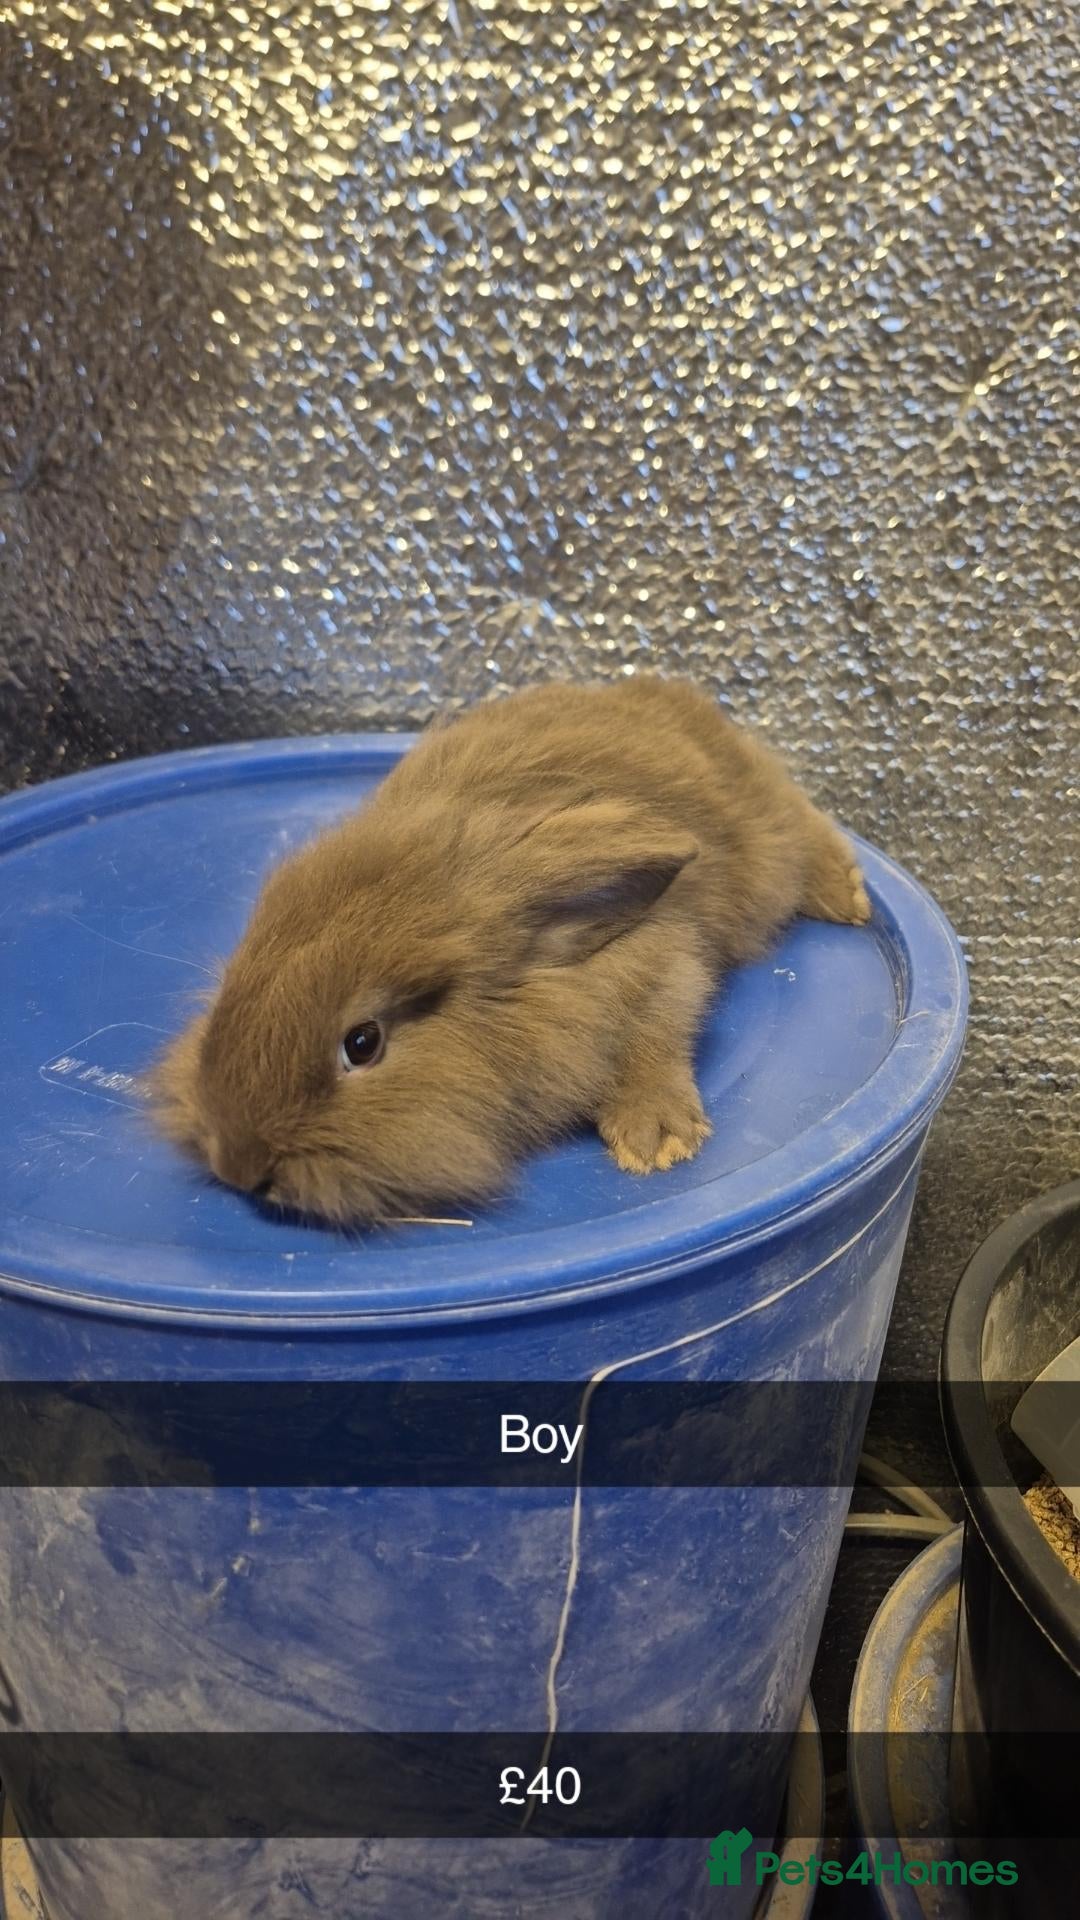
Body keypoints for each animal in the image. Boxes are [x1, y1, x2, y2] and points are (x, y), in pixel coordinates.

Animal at [151, 676, 870, 1224]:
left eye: (363, 1043)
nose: (237, 1167)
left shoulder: (666, 970)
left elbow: (656, 1045)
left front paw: (656, 1140)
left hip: (765, 841)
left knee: (802, 824)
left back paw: (850, 898)